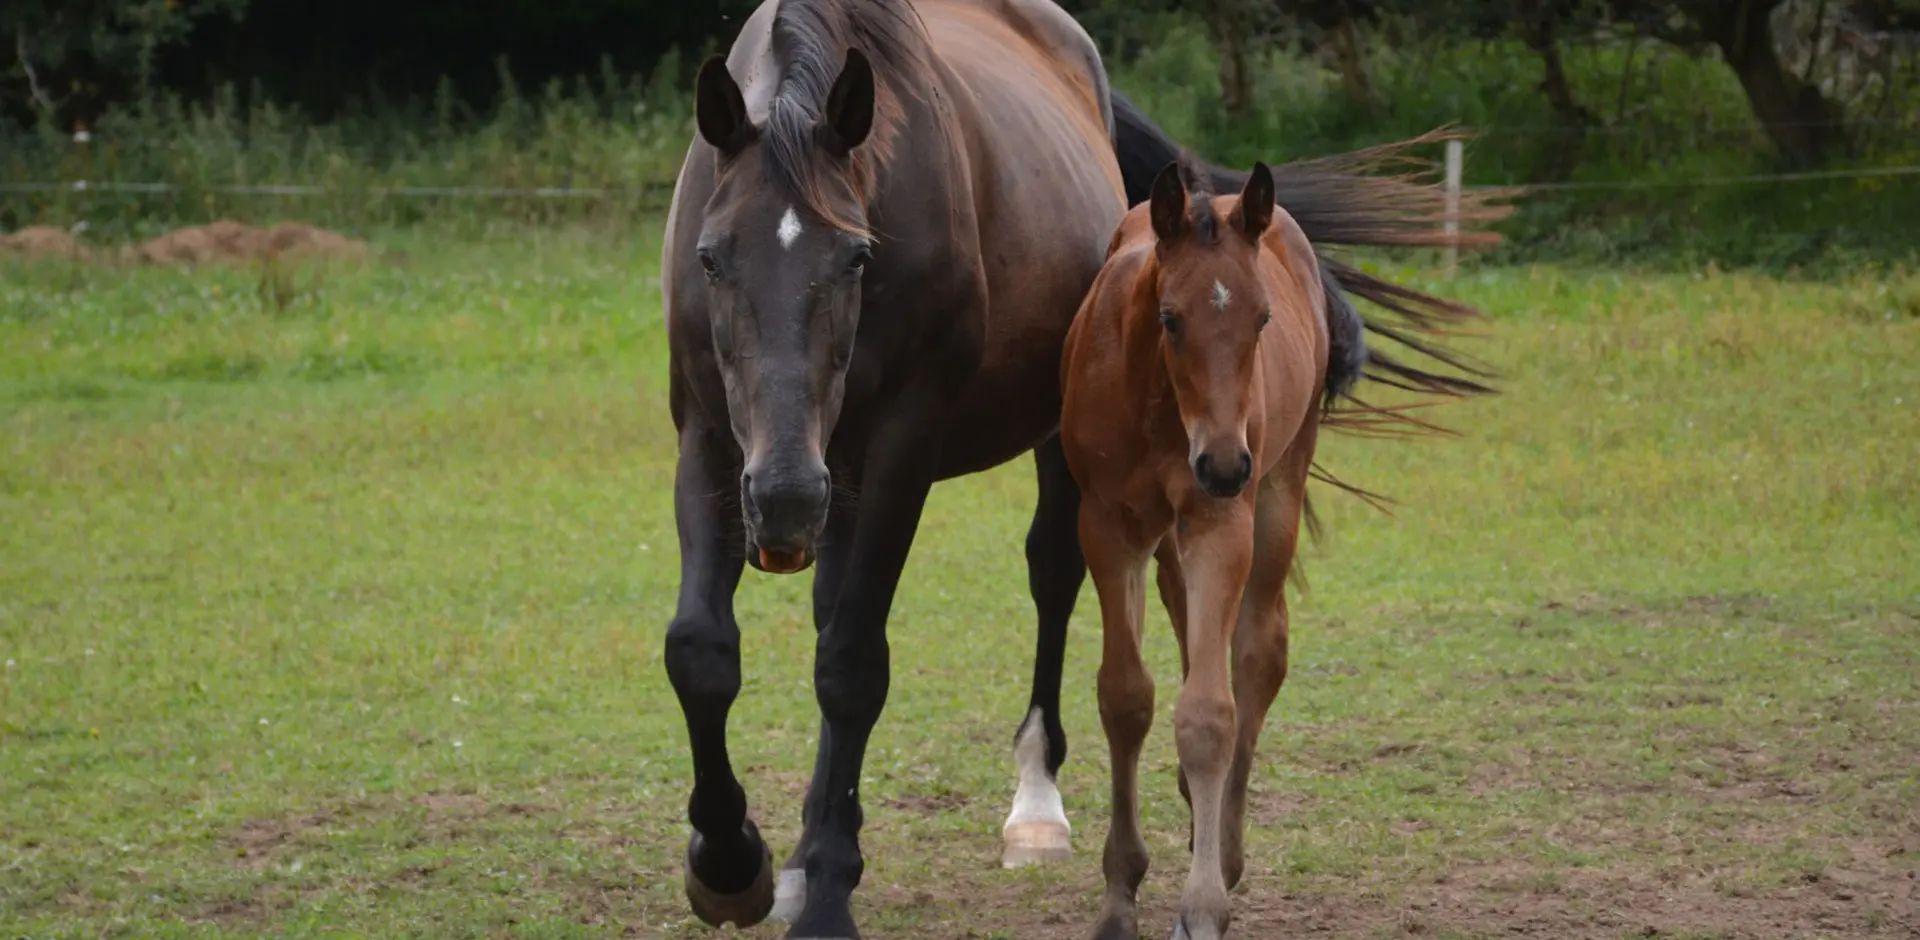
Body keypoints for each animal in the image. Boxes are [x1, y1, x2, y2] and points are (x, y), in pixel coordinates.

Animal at [659, 2, 1501, 937]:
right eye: (710, 257)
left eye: (856, 259)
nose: (782, 500)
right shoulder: (711, 437)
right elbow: (701, 650)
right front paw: (732, 865)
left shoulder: (901, 450)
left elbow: (852, 663)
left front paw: (825, 889)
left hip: (1035, 457)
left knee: (1050, 577)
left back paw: (1034, 808)